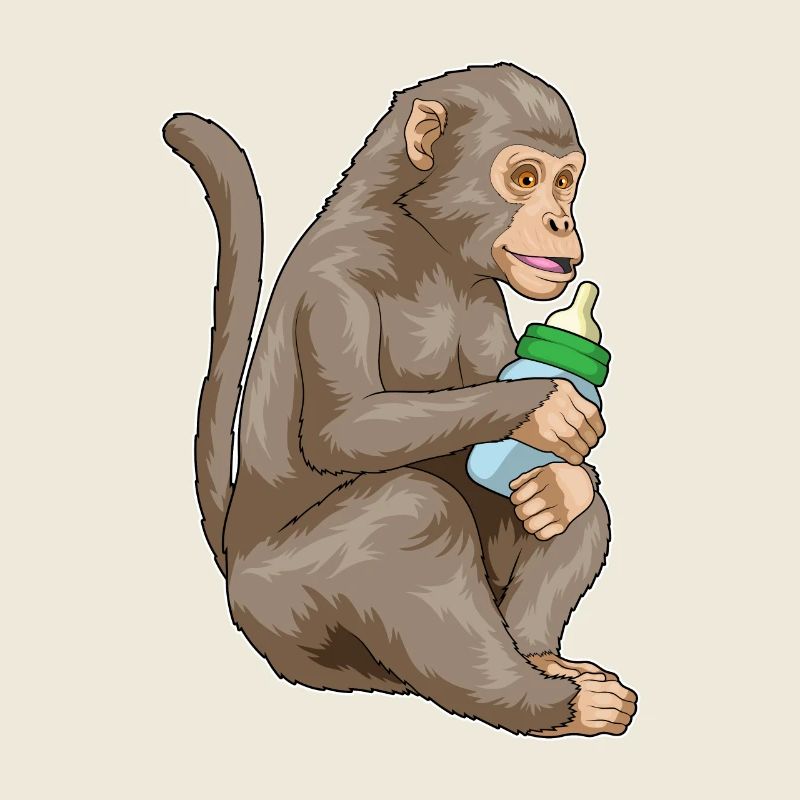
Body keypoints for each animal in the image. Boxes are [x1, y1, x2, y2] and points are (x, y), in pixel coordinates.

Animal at [164, 63, 637, 737]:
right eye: (525, 179)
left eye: (565, 183)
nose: (560, 222)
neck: (419, 239)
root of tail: (231, 556)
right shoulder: (337, 278)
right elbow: (346, 429)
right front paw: (546, 405)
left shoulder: (482, 291)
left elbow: (533, 473)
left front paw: (557, 473)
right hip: (279, 610)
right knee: (411, 514)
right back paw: (540, 701)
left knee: (571, 507)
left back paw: (538, 654)